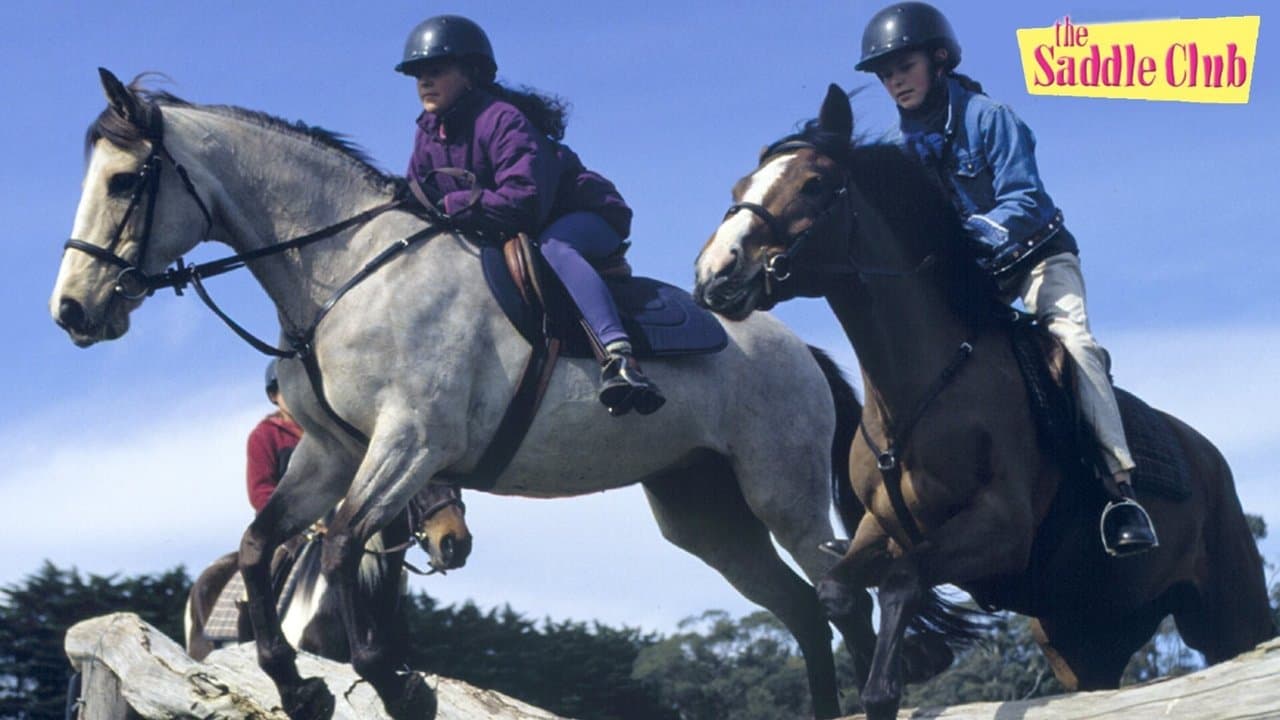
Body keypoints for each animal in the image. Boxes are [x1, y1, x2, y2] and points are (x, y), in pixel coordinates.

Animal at [694, 84, 1277, 720]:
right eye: (739, 189)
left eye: (814, 184)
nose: (714, 275)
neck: (919, 392)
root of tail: (1208, 456)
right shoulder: (880, 528)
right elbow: (837, 589)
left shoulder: (1000, 527)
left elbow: (903, 581)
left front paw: (884, 689)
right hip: (1080, 640)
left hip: (1230, 610)